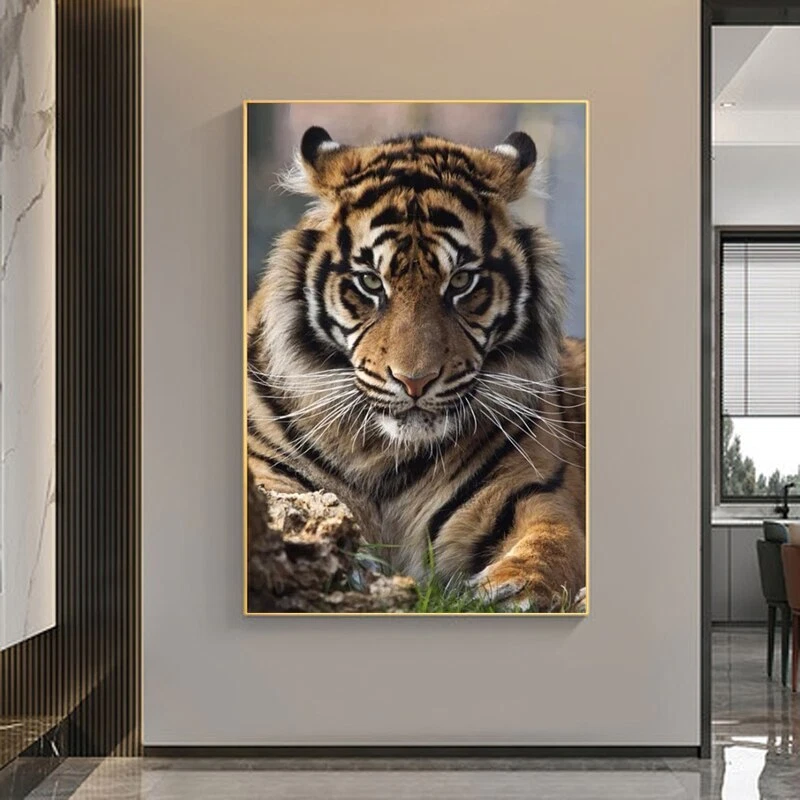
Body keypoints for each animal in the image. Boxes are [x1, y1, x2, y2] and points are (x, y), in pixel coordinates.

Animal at [246, 125, 586, 612]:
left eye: (462, 282)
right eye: (370, 282)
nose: (414, 381)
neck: (382, 454)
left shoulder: (532, 493)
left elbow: (551, 544)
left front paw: (507, 591)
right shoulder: (270, 477)